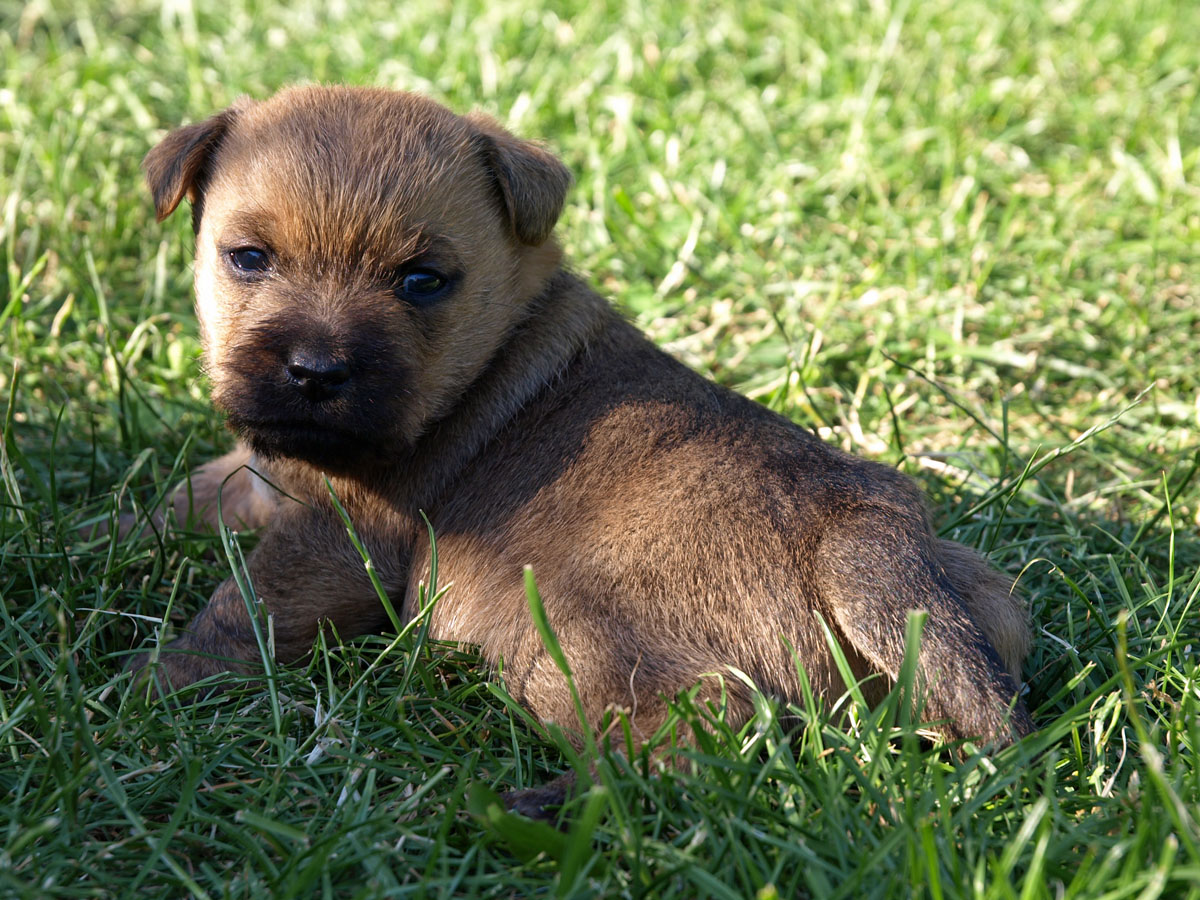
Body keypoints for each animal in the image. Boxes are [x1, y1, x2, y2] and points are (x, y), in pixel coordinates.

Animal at [136, 85, 1033, 809]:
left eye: (422, 280)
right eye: (248, 259)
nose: (315, 371)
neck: (496, 351)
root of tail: (856, 534)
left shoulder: (336, 538)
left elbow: (238, 613)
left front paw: (144, 687)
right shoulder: (262, 476)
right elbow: (174, 503)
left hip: (574, 635)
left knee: (703, 729)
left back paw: (544, 808)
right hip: (983, 591)